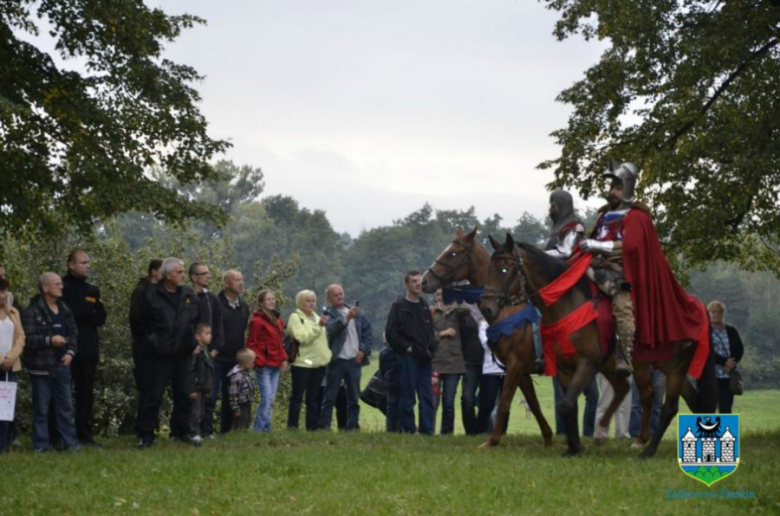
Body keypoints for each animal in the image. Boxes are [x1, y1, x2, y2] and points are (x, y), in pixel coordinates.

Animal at [420, 226, 556, 448]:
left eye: (453, 253)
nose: (424, 280)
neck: (508, 310)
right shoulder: (522, 370)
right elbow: (534, 404)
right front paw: (548, 437)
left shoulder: (515, 365)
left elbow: (503, 403)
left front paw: (492, 441)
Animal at [482, 232, 720, 458]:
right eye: (489, 268)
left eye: (504, 269)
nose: (487, 308)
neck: (566, 305)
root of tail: (695, 306)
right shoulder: (563, 369)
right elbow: (568, 406)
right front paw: (574, 447)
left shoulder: (582, 364)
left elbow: (559, 404)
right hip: (659, 366)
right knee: (673, 399)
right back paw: (612, 432)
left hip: (675, 366)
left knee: (669, 407)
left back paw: (647, 450)